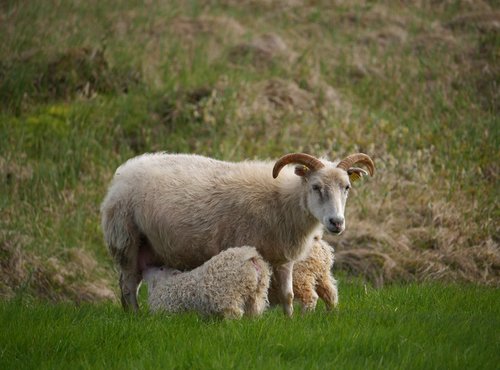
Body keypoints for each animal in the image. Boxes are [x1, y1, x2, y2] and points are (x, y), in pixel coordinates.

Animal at [143, 246, 272, 318]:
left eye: (161, 268)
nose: (145, 268)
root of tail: (250, 256)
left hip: (227, 295)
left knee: (235, 313)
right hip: (256, 293)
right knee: (254, 312)